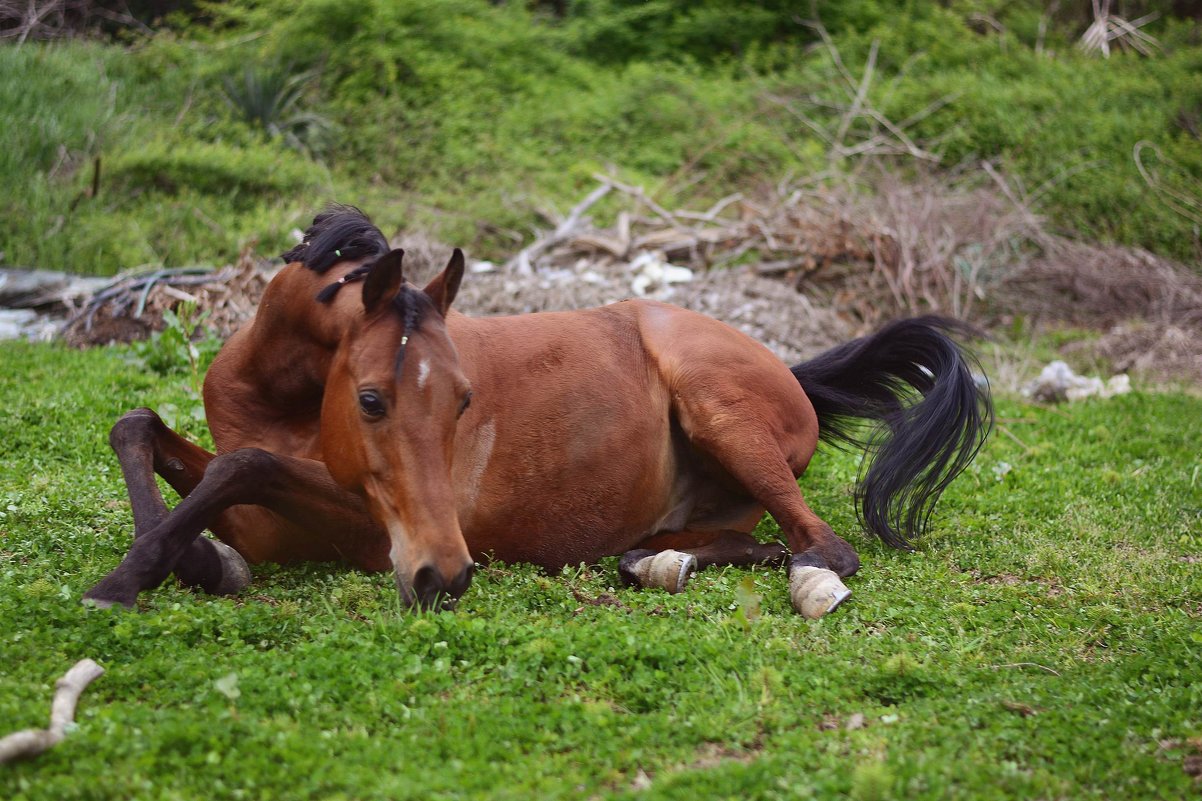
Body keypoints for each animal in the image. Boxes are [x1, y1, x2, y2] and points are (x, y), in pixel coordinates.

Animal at [79, 204, 990, 610]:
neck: (279, 393)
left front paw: (136, 573)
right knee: (748, 543)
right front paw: (191, 558)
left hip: (720, 410)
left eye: (463, 400)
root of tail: (789, 371)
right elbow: (140, 428)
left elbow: (241, 463)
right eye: (370, 398)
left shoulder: (363, 527)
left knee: (823, 547)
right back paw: (658, 561)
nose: (445, 575)